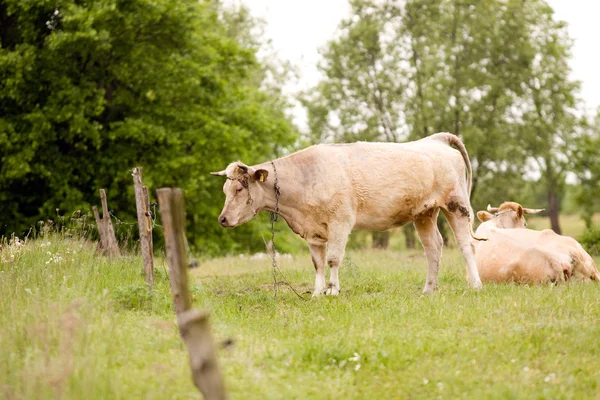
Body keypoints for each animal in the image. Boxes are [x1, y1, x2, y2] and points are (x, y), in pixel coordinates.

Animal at [211, 133, 482, 296]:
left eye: (238, 189)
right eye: (224, 189)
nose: (222, 219)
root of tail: (436, 139)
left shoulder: (340, 222)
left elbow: (333, 259)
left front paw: (332, 290)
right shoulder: (313, 230)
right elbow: (318, 262)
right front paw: (317, 293)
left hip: (456, 204)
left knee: (466, 245)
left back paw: (475, 284)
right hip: (424, 212)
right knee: (433, 247)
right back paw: (428, 289)